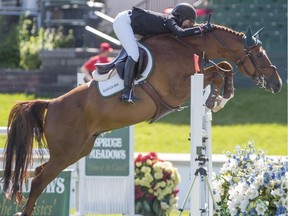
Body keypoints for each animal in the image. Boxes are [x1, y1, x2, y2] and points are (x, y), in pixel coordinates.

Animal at [1, 24, 282, 215]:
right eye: (259, 55)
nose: (277, 84)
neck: (187, 46)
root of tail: (51, 104)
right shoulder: (177, 89)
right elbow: (218, 70)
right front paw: (219, 97)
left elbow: (222, 67)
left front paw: (220, 96)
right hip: (66, 152)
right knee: (38, 180)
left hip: (77, 151)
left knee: (39, 173)